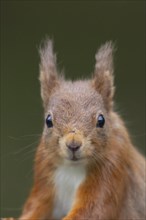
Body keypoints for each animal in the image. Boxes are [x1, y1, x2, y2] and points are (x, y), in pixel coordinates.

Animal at [19, 38, 145, 219]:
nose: (73, 144)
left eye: (101, 120)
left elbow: (93, 210)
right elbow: (35, 207)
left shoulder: (112, 169)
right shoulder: (44, 172)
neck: (72, 169)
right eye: (48, 120)